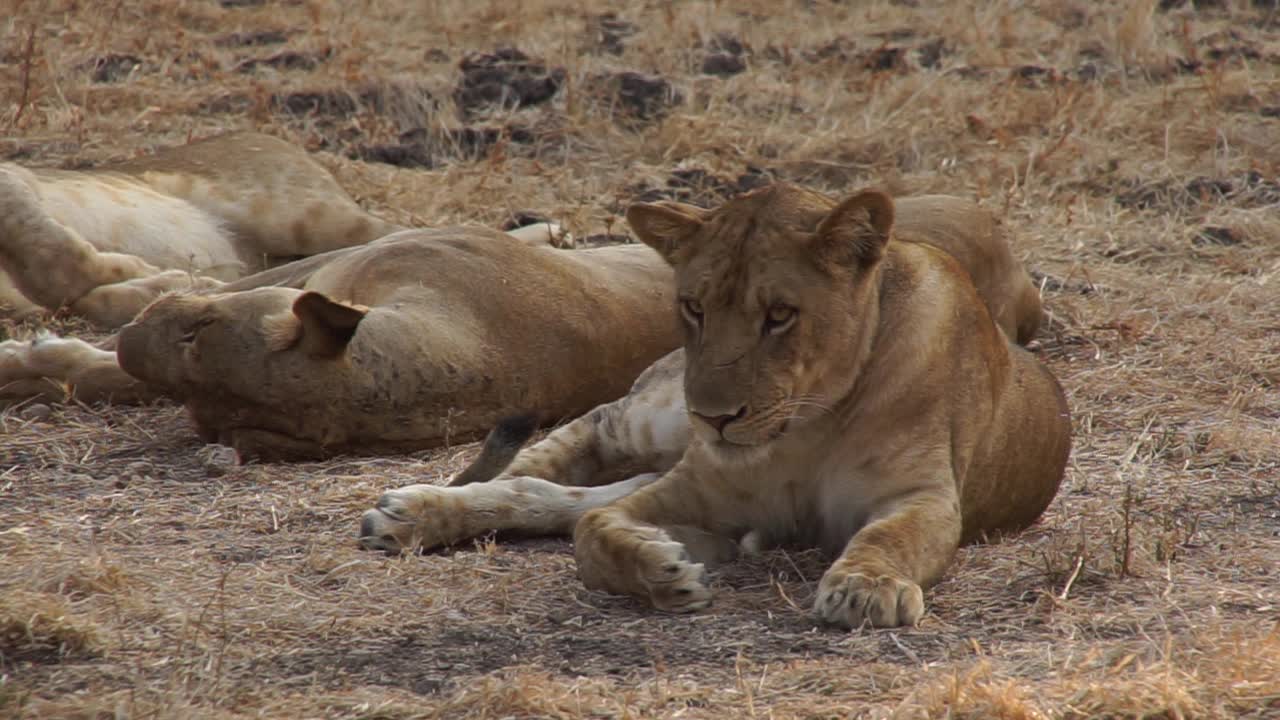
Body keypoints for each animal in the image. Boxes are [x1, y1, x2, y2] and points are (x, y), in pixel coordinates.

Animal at [355, 184, 1064, 627]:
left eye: (780, 316)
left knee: (554, 496)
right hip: (654, 421)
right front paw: (663, 570)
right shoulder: (690, 487)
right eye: (693, 307)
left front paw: (866, 590)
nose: (716, 418)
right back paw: (411, 512)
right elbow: (593, 534)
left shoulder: (923, 495)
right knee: (555, 461)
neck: (810, 425)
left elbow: (889, 537)